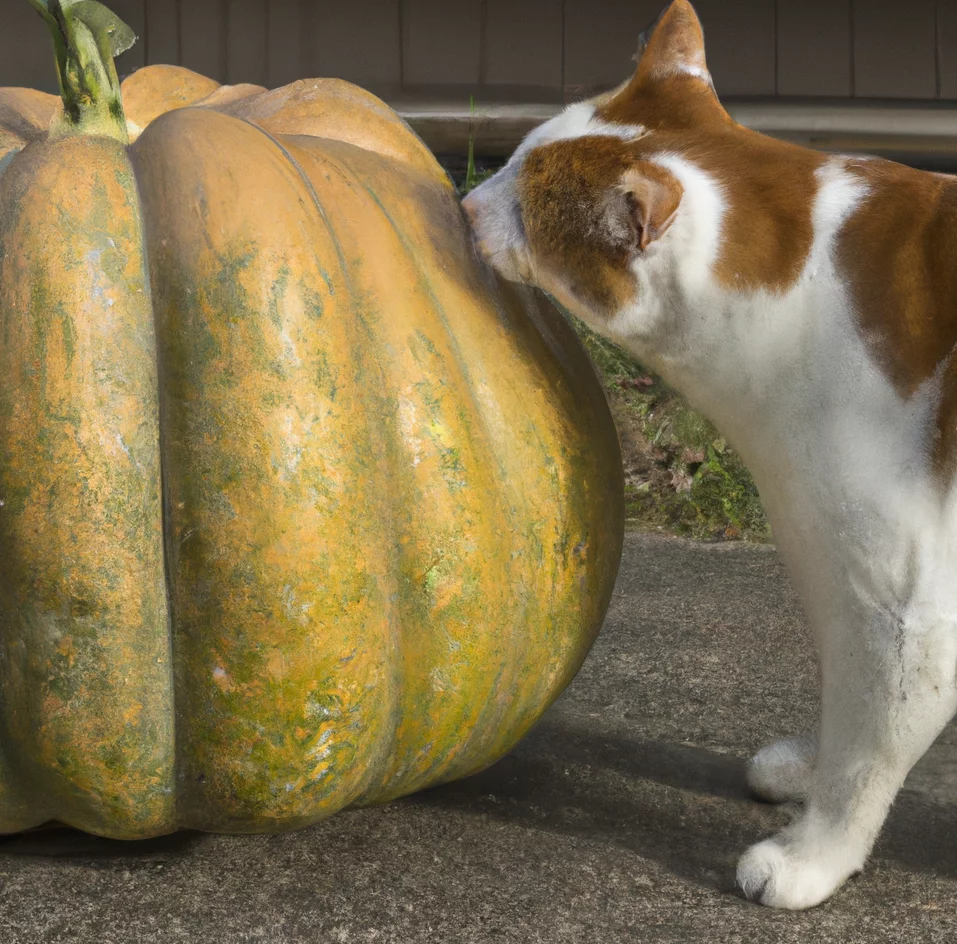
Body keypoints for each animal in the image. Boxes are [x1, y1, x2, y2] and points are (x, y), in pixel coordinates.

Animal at [462, 0, 956, 916]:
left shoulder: (910, 610)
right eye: (511, 160)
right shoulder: (840, 574)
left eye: (524, 203)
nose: (465, 199)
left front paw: (814, 854)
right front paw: (808, 767)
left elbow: (869, 748)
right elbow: (843, 698)